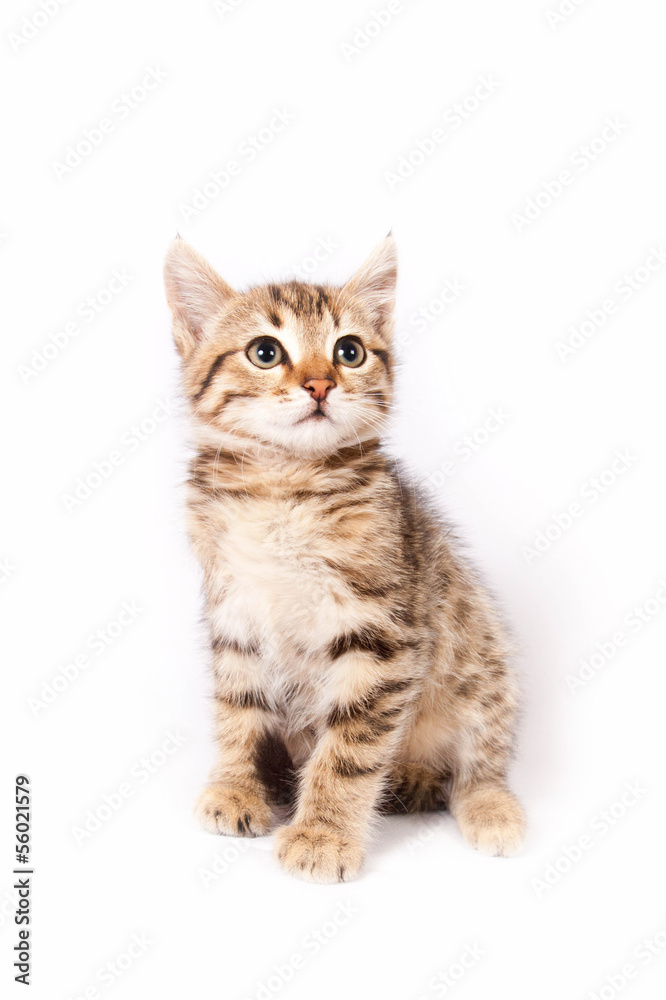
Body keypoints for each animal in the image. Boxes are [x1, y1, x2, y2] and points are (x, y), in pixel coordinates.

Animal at [162, 234, 524, 884]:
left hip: (480, 654)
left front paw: (323, 833)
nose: (320, 384)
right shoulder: (234, 613)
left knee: (479, 760)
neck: (283, 487)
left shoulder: (381, 636)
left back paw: (489, 806)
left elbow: (349, 748)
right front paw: (237, 786)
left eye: (349, 351)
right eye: (264, 352)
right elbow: (237, 710)